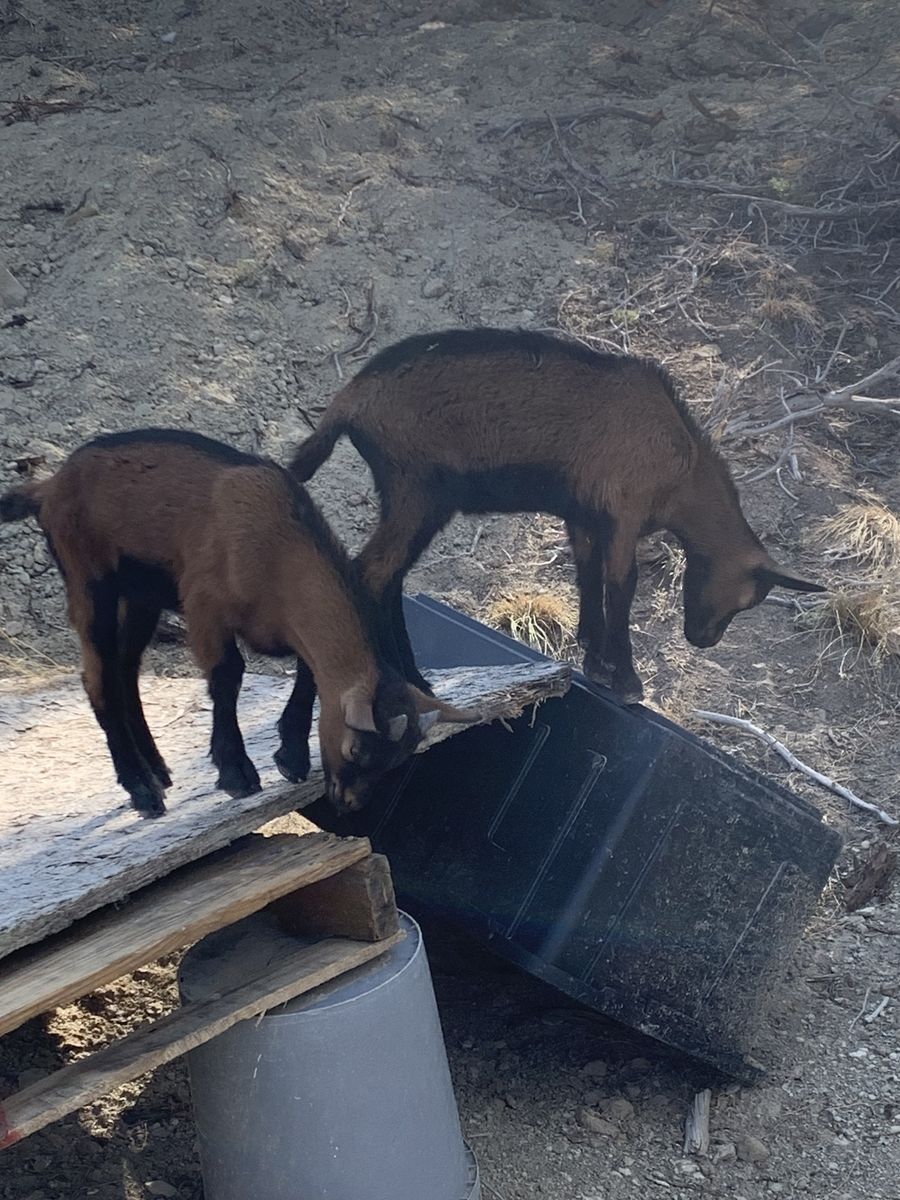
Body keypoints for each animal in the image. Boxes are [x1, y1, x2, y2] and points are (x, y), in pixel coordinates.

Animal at [0, 429, 475, 817]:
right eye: (356, 749)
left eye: (398, 759)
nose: (349, 803)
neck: (279, 551)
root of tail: (49, 486)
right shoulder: (204, 606)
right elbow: (228, 676)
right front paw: (236, 772)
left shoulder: (289, 628)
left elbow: (309, 675)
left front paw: (291, 756)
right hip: (88, 579)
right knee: (97, 676)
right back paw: (141, 789)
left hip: (141, 597)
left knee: (124, 670)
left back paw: (157, 771)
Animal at [289, 328, 825, 704]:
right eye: (748, 600)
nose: (704, 640)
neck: (684, 468)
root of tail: (349, 401)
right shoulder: (624, 513)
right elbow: (621, 586)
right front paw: (626, 678)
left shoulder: (586, 515)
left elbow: (587, 574)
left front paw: (594, 657)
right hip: (418, 489)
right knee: (374, 571)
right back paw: (410, 678)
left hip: (407, 496)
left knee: (388, 574)